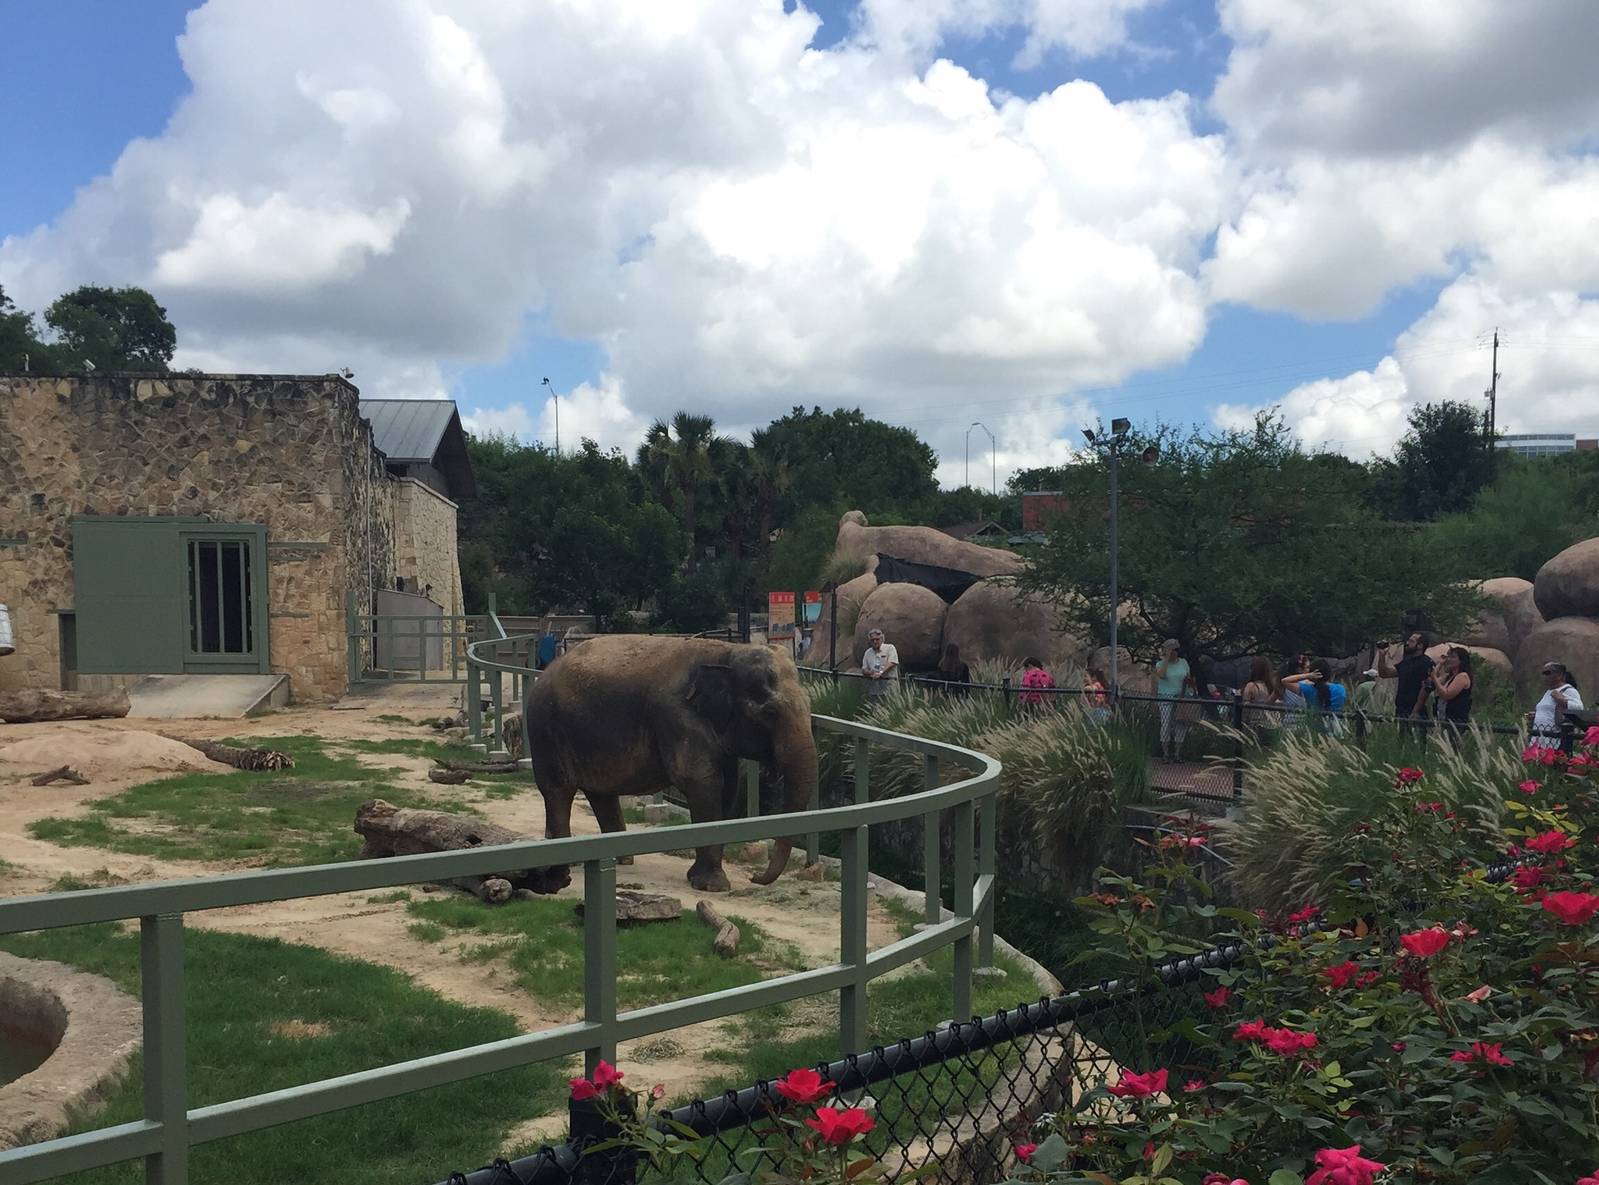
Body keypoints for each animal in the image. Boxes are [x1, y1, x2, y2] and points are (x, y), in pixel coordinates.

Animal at [523, 635, 820, 893]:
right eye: (770, 713)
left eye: (810, 705)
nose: (754, 877)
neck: (727, 651)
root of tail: (547, 669)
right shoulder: (676, 717)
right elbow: (701, 782)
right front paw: (713, 887)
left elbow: (727, 788)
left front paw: (697, 878)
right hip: (546, 728)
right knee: (558, 789)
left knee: (601, 792)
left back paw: (620, 858)